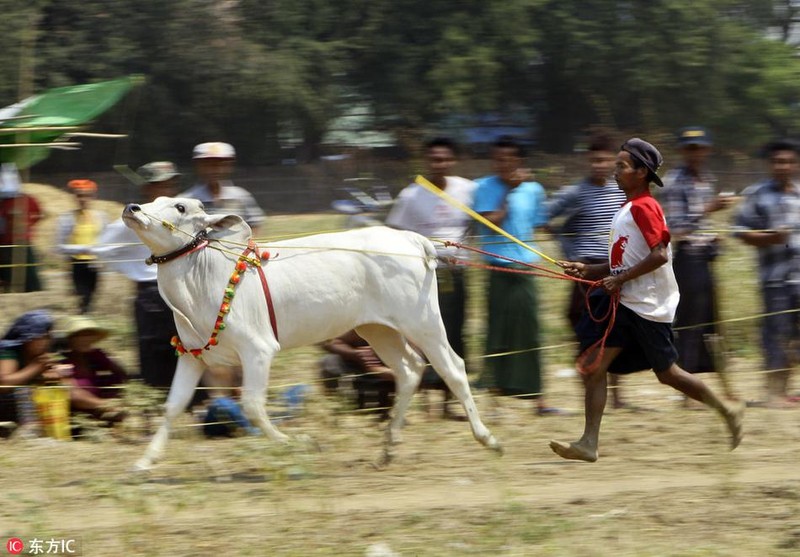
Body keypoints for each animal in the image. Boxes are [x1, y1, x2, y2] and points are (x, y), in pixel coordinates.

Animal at [124, 197, 500, 470]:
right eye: (156, 198)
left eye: (179, 207)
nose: (132, 208)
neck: (203, 278)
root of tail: (411, 237)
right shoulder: (192, 356)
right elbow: (173, 407)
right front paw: (143, 462)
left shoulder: (258, 350)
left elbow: (252, 406)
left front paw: (298, 443)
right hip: (377, 329)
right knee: (410, 370)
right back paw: (387, 449)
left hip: (422, 321)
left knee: (453, 368)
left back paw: (487, 438)